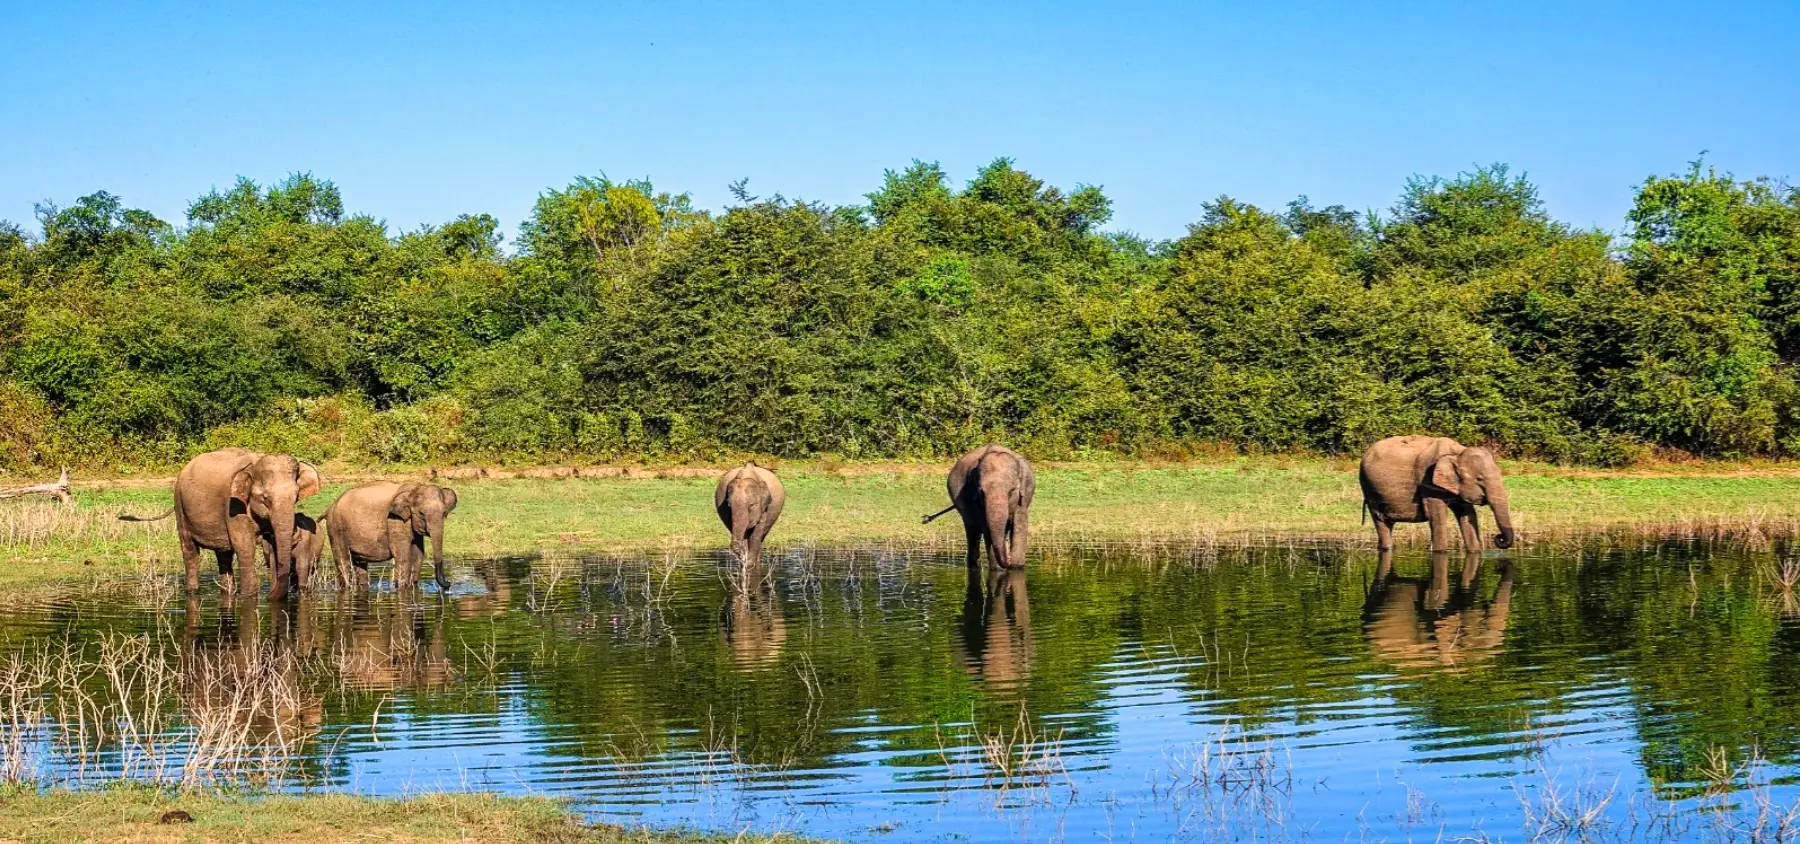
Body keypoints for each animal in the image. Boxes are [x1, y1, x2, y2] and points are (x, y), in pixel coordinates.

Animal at [123, 449, 324, 593]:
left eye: (296, 497)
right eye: (265, 498)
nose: (271, 594)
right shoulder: (233, 506)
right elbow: (244, 547)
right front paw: (250, 595)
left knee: (224, 556)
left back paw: (228, 592)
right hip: (180, 505)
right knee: (190, 551)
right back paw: (193, 590)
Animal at [327, 478, 460, 590]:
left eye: (444, 513)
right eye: (422, 513)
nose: (449, 583)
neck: (413, 490)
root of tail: (331, 506)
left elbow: (419, 555)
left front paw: (413, 587)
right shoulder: (395, 520)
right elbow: (403, 556)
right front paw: (402, 588)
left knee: (359, 564)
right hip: (336, 528)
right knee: (343, 561)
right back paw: (346, 587)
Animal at [1353, 433, 1512, 554]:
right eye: (1479, 479)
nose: (1498, 538)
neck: (1457, 452)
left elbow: (1467, 514)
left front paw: (1475, 552)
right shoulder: (1427, 480)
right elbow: (1437, 515)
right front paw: (1439, 552)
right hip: (1368, 486)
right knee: (1380, 521)